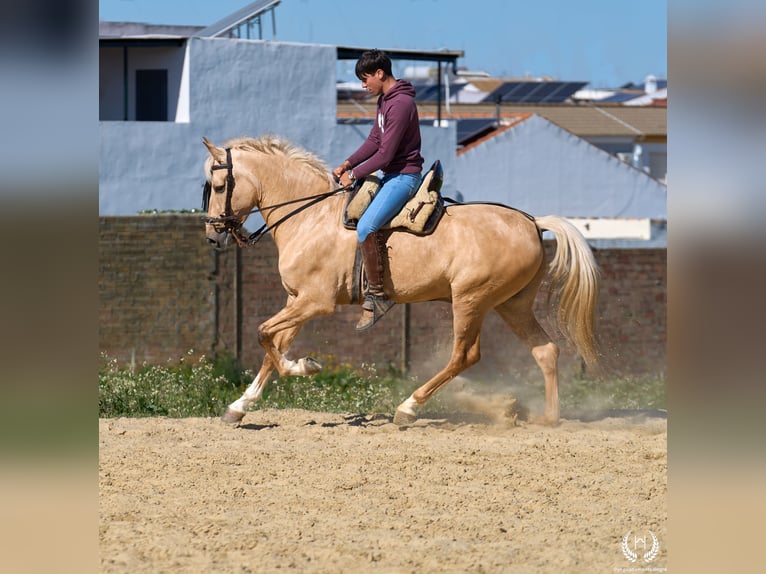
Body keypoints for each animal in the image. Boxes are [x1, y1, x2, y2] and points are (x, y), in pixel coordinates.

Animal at [202, 135, 600, 426]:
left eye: (219, 185)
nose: (213, 236)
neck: (310, 217)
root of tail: (532, 221)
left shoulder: (316, 302)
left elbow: (264, 336)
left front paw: (306, 366)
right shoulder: (296, 301)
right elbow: (273, 347)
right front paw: (239, 406)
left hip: (471, 301)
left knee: (464, 355)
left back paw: (408, 408)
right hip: (511, 305)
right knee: (545, 351)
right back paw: (549, 419)